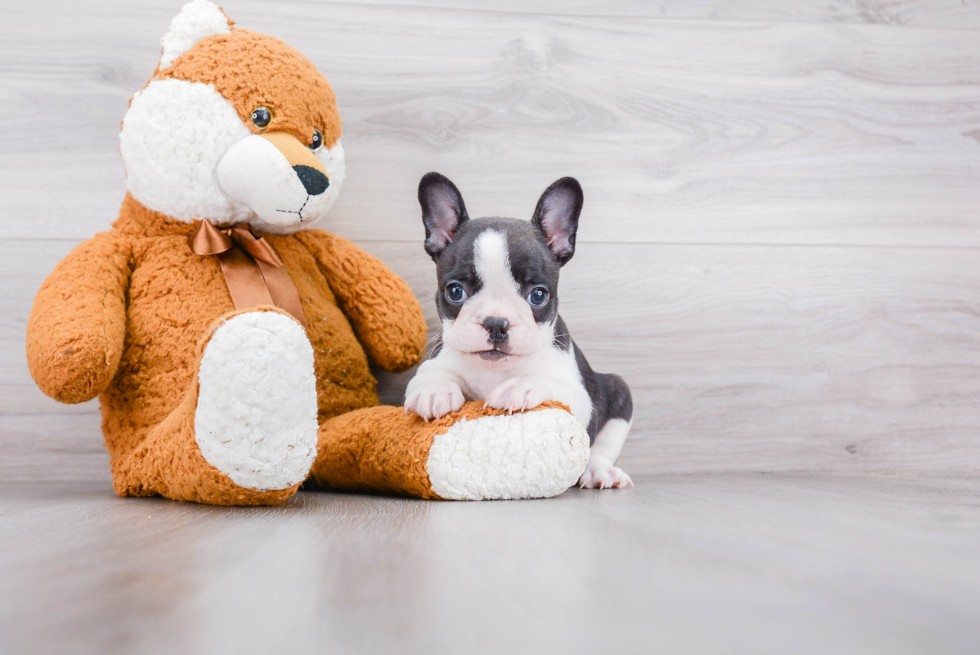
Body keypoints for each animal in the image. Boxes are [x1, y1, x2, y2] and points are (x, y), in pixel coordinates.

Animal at [406, 172, 636, 490]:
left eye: (537, 296)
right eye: (455, 292)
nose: (496, 323)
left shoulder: (580, 399)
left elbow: (549, 383)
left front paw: (520, 386)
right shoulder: (434, 362)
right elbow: (432, 376)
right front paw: (434, 391)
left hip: (617, 390)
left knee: (602, 446)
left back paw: (600, 472)